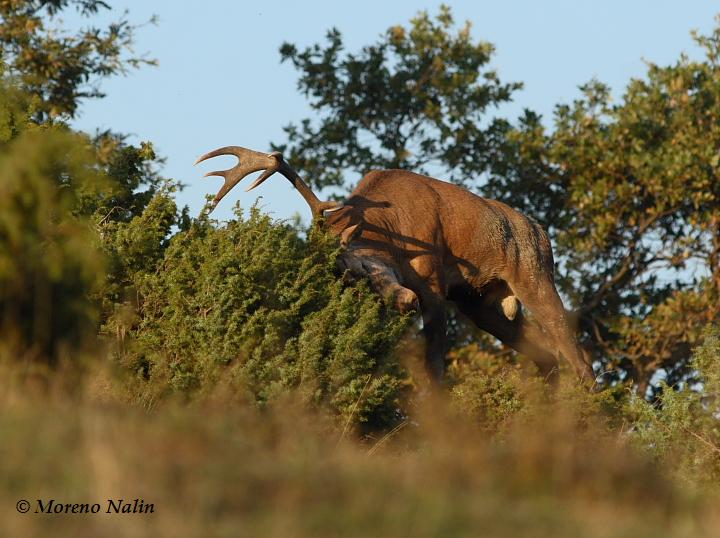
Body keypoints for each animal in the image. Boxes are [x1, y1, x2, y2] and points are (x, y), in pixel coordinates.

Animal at [194, 144, 592, 384]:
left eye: (363, 264)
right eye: (351, 284)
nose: (405, 300)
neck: (390, 230)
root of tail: (540, 231)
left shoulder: (433, 281)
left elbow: (435, 365)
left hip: (533, 273)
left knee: (576, 353)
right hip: (478, 302)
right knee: (547, 355)